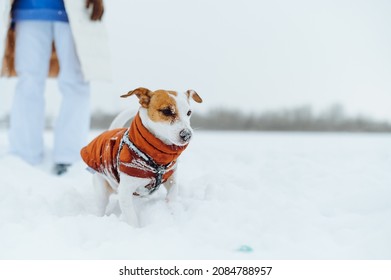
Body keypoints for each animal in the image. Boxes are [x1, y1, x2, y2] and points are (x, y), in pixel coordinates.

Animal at [79, 86, 202, 226]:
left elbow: (172, 196)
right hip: (102, 189)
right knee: (101, 205)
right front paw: (135, 228)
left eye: (189, 112)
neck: (156, 157)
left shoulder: (172, 179)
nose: (187, 135)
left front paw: (171, 212)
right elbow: (131, 217)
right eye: (166, 111)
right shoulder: (125, 192)